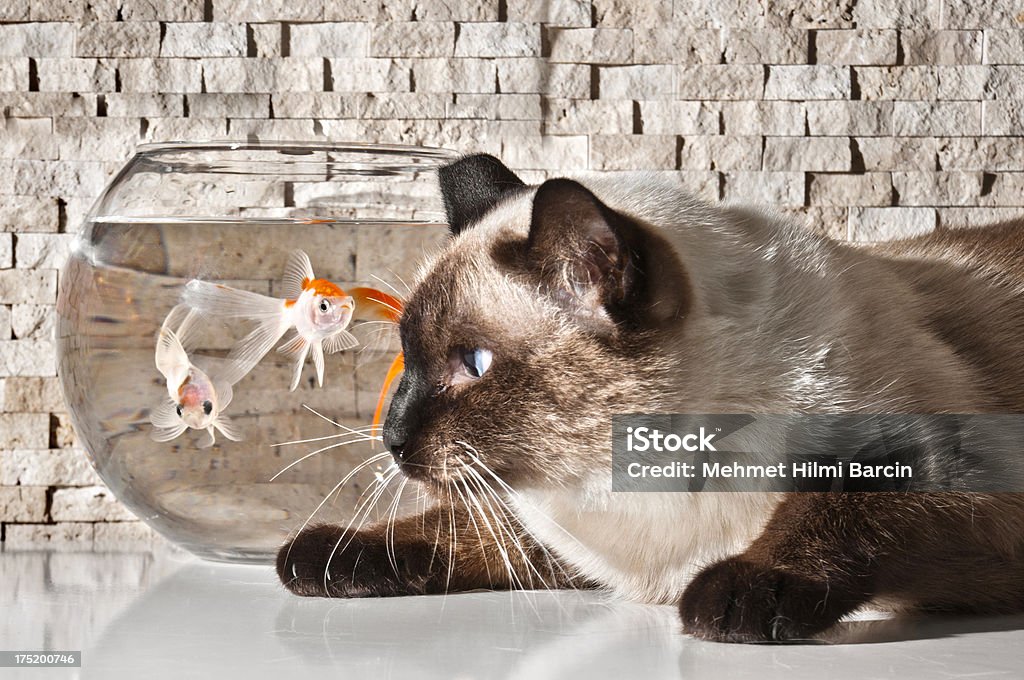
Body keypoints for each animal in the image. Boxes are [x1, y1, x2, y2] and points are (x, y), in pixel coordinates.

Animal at [274, 153, 1024, 643]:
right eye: (409, 359)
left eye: (474, 365)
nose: (392, 436)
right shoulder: (555, 536)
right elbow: (455, 530)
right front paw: (326, 555)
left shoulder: (932, 467)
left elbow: (828, 512)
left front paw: (739, 595)